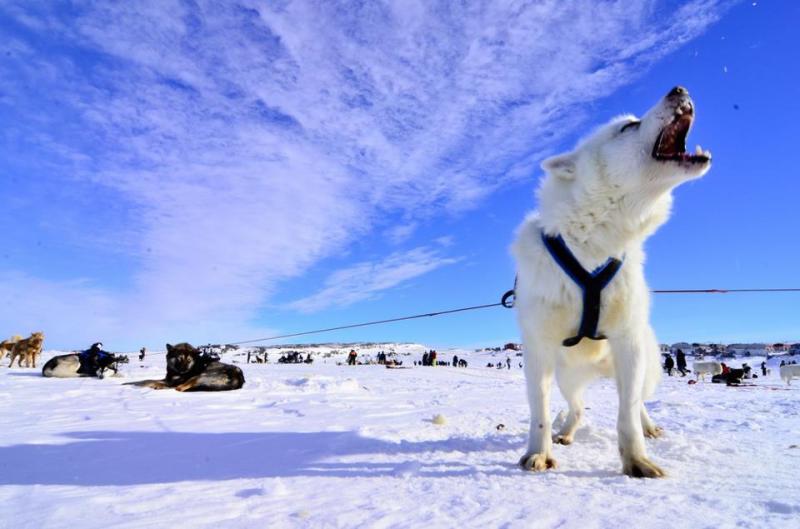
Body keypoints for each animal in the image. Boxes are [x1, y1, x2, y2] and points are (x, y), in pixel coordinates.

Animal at [512, 87, 712, 478]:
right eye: (628, 126)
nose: (679, 88)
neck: (592, 243)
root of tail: (597, 369)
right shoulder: (539, 348)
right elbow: (539, 409)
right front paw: (539, 452)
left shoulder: (627, 342)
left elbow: (627, 415)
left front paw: (636, 460)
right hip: (567, 376)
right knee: (576, 408)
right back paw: (565, 433)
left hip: (640, 366)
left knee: (636, 404)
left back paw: (648, 428)